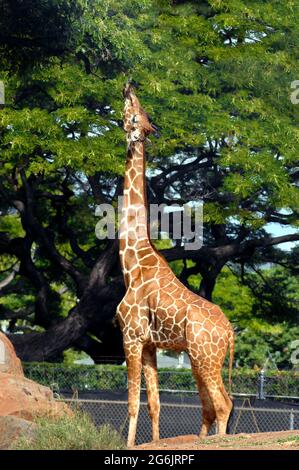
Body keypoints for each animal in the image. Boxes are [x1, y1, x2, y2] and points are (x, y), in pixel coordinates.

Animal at [116, 81, 236, 448]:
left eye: (134, 114)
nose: (129, 85)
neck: (131, 263)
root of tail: (230, 332)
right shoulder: (151, 345)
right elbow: (153, 404)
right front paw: (154, 443)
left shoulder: (130, 336)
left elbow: (132, 402)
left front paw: (128, 444)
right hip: (199, 358)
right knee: (212, 406)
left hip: (205, 357)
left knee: (223, 404)